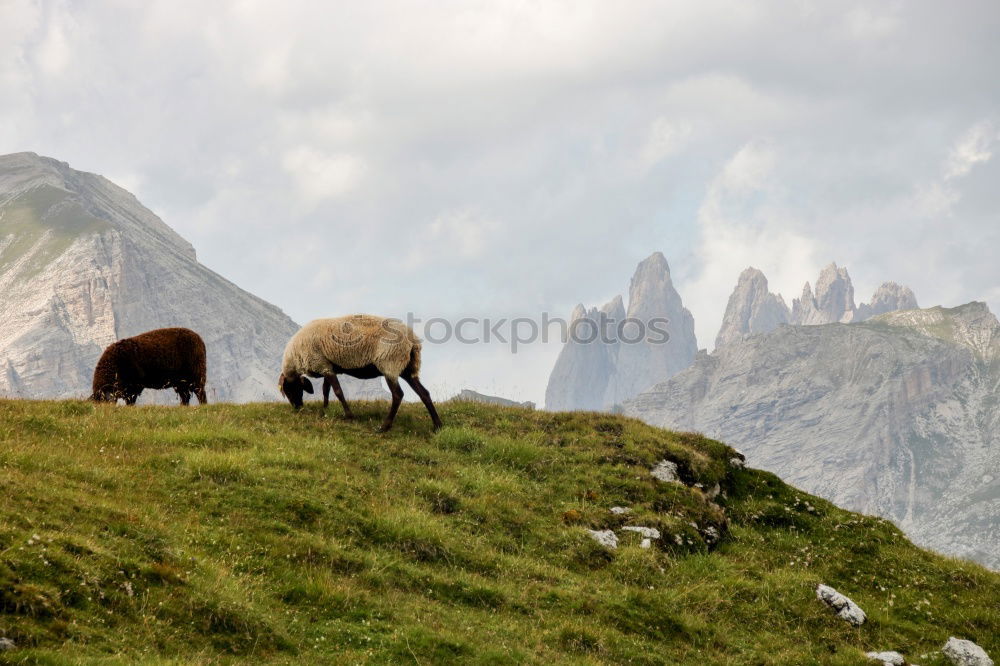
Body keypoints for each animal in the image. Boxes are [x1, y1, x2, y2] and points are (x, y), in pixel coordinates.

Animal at [278, 316, 442, 434]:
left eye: (288, 390)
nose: (297, 408)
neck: (295, 358)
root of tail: (413, 341)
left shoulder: (322, 364)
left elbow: (338, 391)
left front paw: (349, 416)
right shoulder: (326, 365)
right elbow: (326, 390)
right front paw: (325, 410)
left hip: (389, 363)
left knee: (398, 395)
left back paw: (384, 427)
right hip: (407, 369)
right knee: (424, 393)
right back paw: (437, 426)